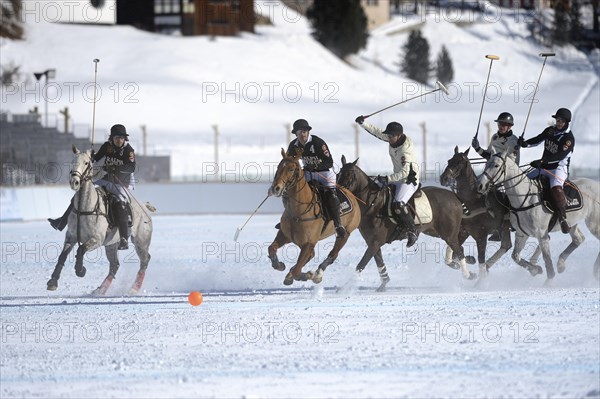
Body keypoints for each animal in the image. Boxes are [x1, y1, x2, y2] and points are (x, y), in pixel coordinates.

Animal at [47, 145, 155, 296]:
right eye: (73, 161)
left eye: (86, 162)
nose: (74, 182)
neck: (85, 207)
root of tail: (144, 206)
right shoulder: (71, 236)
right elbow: (62, 256)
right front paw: (52, 282)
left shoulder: (97, 239)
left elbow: (81, 249)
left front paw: (80, 270)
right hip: (111, 244)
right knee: (115, 265)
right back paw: (100, 290)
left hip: (141, 241)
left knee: (145, 260)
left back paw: (134, 289)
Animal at [268, 148, 360, 286]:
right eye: (278, 167)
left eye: (291, 169)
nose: (275, 188)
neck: (298, 212)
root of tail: (350, 193)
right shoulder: (284, 235)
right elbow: (271, 248)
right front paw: (279, 265)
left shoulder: (309, 243)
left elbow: (297, 271)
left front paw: (308, 275)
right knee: (310, 256)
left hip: (346, 233)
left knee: (333, 254)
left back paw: (317, 274)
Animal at [338, 155, 474, 290]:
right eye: (338, 174)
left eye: (349, 175)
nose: (338, 194)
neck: (373, 204)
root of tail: (454, 196)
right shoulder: (372, 242)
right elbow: (379, 262)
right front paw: (383, 284)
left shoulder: (375, 242)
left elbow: (361, 265)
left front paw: (344, 289)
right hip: (436, 231)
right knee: (458, 247)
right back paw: (463, 265)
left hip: (448, 234)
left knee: (459, 250)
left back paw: (468, 274)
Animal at [438, 145, 512, 280]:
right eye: (449, 161)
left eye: (460, 162)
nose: (444, 178)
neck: (473, 201)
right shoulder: (463, 231)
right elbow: (454, 254)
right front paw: (465, 260)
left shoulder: (481, 235)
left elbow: (478, 257)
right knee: (506, 245)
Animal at [478, 150, 600, 284]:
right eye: (486, 164)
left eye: (496, 165)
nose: (480, 185)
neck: (525, 199)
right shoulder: (522, 233)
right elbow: (515, 256)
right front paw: (536, 270)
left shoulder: (542, 235)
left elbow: (547, 259)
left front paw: (548, 282)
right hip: (572, 223)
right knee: (578, 239)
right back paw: (561, 264)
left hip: (594, 223)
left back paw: (593, 271)